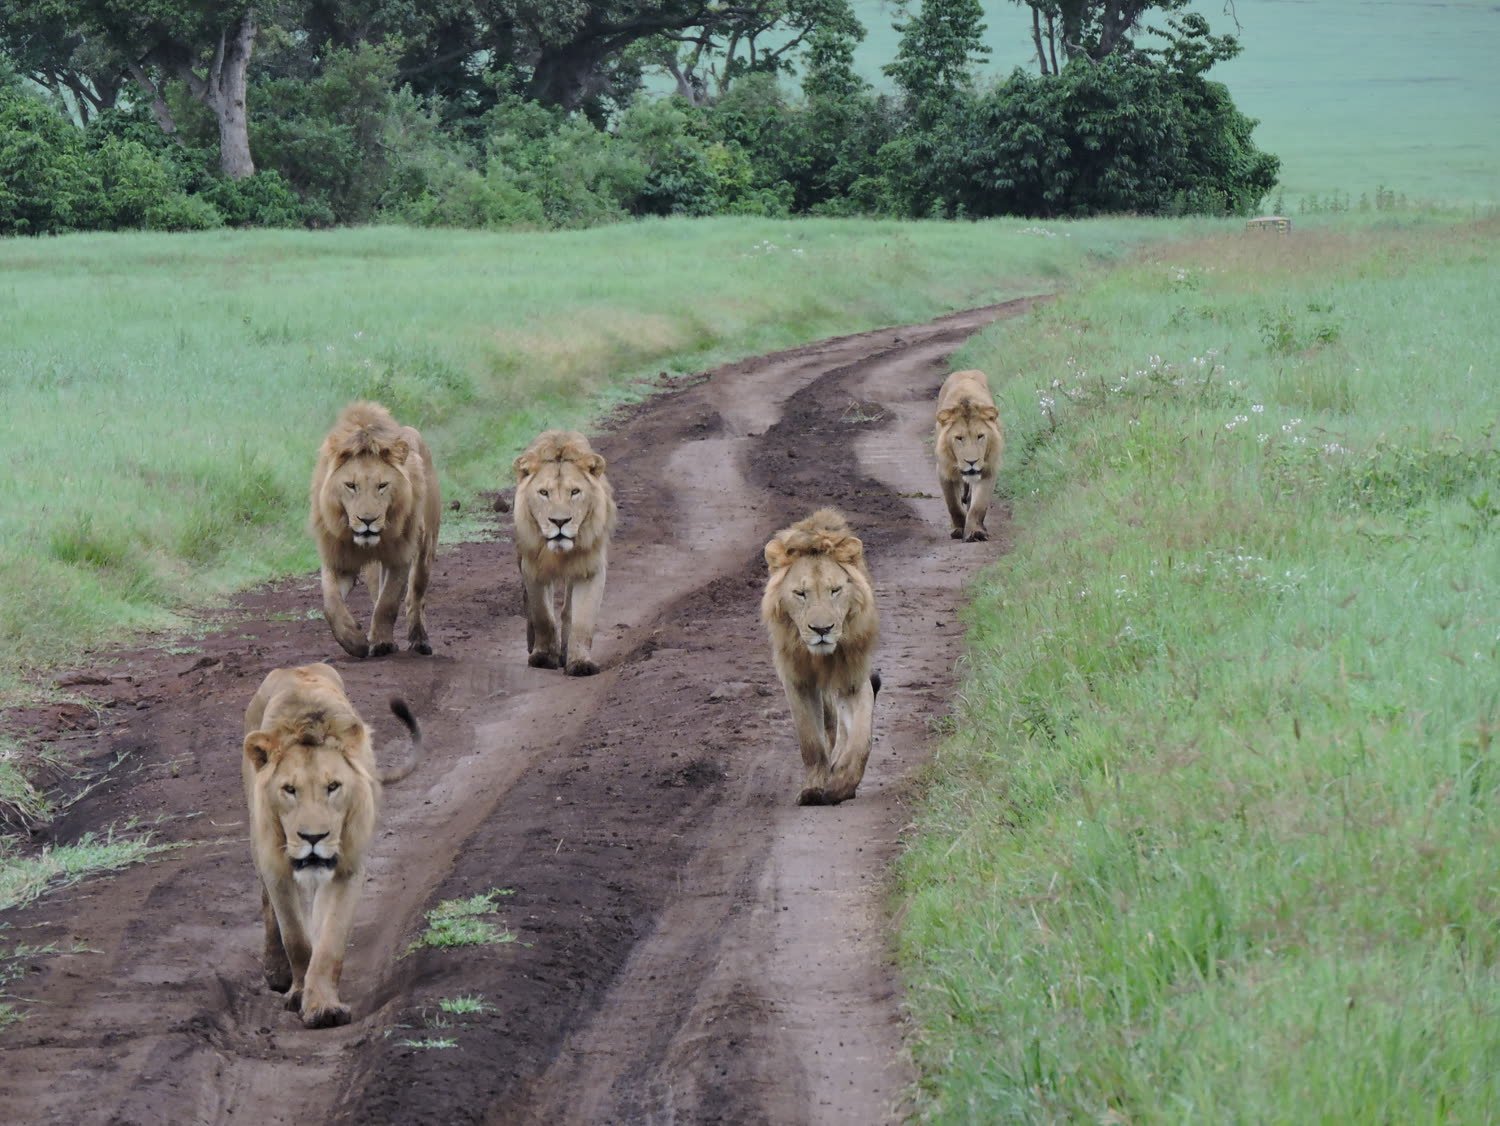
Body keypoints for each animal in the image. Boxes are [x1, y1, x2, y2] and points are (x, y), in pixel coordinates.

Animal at [241, 663, 423, 1028]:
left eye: (333, 786)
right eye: (289, 789)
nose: (313, 838)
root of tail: (295, 667)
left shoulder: (346, 868)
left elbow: (329, 943)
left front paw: (323, 1007)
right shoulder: (276, 867)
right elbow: (296, 938)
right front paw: (298, 993)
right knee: (268, 905)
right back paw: (277, 972)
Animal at [309, 401, 441, 658]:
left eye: (382, 485)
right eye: (351, 485)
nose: (367, 520)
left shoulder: (400, 555)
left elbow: (388, 602)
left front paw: (380, 642)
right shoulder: (338, 558)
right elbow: (331, 603)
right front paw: (354, 641)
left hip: (426, 547)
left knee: (415, 595)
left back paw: (419, 640)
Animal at [512, 430, 617, 677]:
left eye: (575, 492)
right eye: (544, 493)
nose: (559, 522)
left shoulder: (590, 569)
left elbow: (582, 620)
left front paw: (580, 663)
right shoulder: (533, 568)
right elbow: (543, 615)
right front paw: (543, 657)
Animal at [761, 509, 881, 806]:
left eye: (835, 590)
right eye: (800, 594)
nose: (822, 630)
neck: (821, 658)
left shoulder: (854, 678)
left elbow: (861, 739)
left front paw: (842, 785)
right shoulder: (797, 681)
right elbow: (812, 744)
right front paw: (814, 788)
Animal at [935, 369, 1004, 542]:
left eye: (980, 436)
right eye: (959, 438)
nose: (971, 462)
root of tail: (965, 371)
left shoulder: (988, 469)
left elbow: (978, 505)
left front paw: (975, 532)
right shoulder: (943, 469)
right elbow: (953, 504)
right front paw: (959, 529)